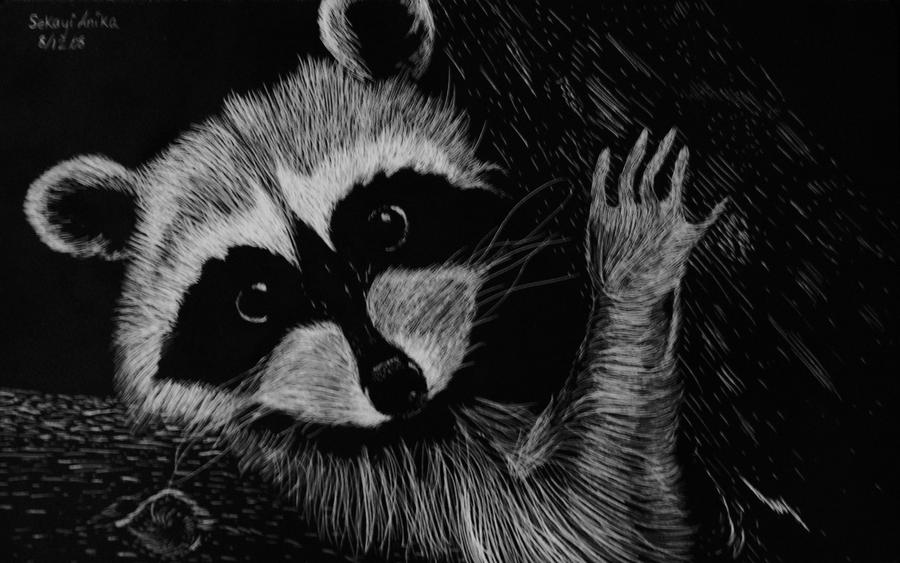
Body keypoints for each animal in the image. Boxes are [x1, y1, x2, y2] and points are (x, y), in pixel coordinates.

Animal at [23, 1, 726, 561]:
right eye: (254, 299)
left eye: (387, 222)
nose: (394, 382)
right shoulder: (356, 481)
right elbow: (575, 522)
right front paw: (630, 279)